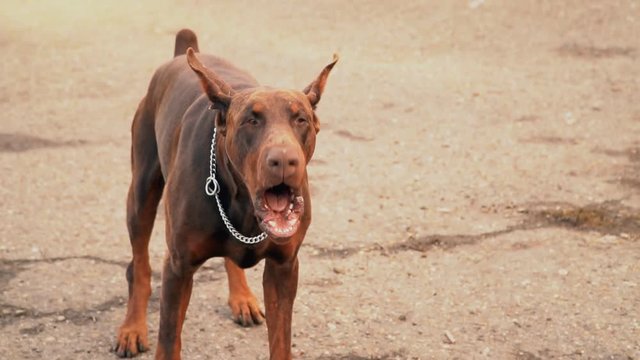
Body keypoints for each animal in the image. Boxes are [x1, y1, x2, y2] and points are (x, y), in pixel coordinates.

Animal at [115, 28, 338, 360]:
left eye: (301, 120)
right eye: (251, 120)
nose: (285, 160)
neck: (243, 205)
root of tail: (181, 53)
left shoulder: (284, 267)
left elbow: (281, 340)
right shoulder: (179, 266)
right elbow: (168, 339)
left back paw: (242, 298)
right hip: (141, 190)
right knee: (138, 265)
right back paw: (132, 328)